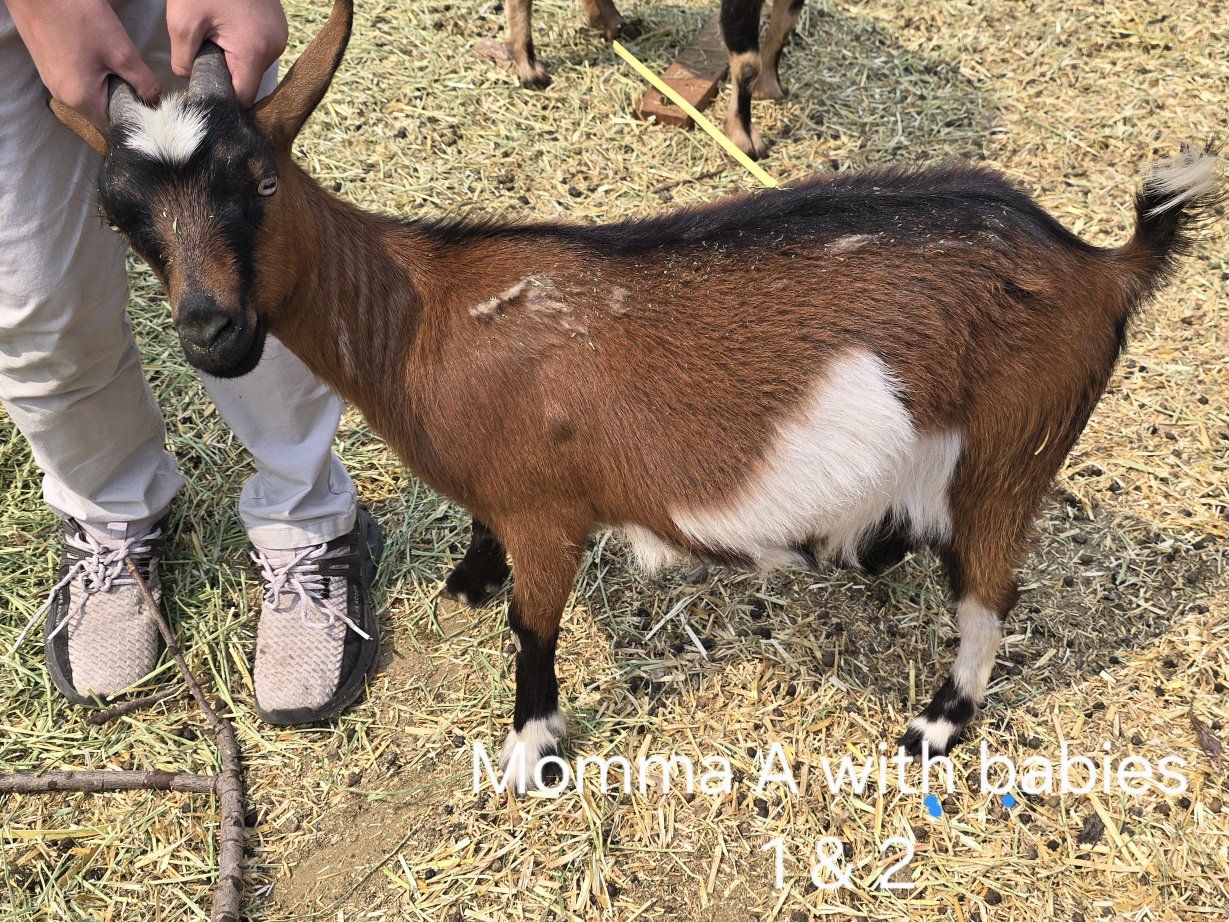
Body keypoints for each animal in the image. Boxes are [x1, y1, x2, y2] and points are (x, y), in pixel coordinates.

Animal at [497, 0, 803, 159]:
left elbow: (783, 28)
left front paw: (770, 88)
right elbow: (748, 61)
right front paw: (745, 139)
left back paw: (610, 21)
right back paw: (529, 67)